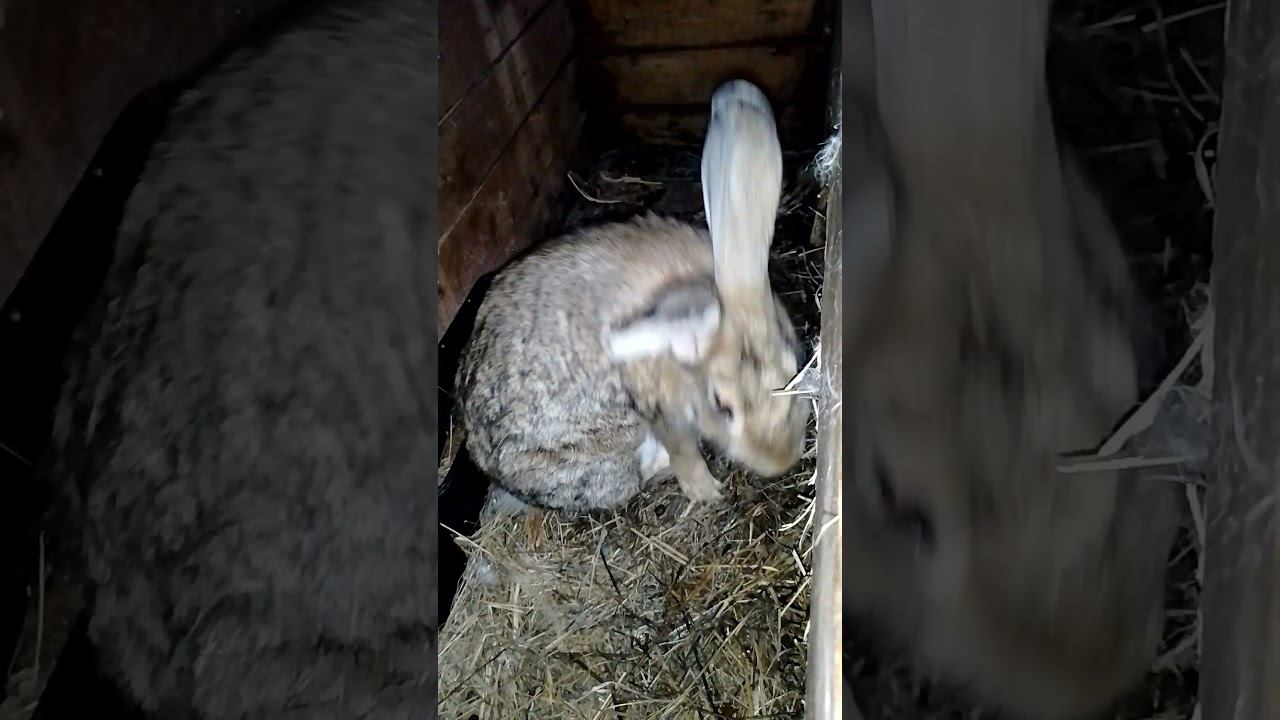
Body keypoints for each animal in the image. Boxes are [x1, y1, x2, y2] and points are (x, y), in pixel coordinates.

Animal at [455, 79, 809, 514]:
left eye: (794, 371)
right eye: (722, 405)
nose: (781, 461)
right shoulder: (658, 405)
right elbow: (682, 446)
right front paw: (704, 490)